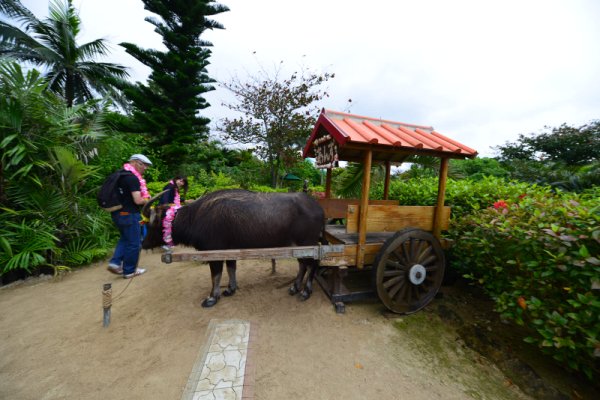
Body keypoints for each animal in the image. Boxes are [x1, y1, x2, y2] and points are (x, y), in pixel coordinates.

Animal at [141, 189, 326, 308]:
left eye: (153, 225)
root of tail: (318, 208)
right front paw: (230, 289)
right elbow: (231, 269)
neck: (196, 217)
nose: (143, 244)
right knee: (303, 265)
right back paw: (295, 287)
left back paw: (306, 291)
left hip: (308, 244)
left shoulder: (214, 253)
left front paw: (212, 298)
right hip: (299, 247)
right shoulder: (230, 251)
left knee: (313, 265)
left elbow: (215, 275)